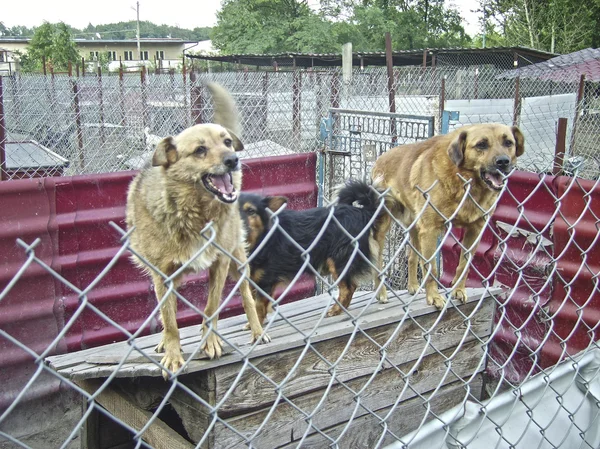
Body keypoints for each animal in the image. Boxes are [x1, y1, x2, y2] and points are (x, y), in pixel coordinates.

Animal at [126, 82, 270, 376]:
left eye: (226, 142)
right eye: (200, 150)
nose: (233, 159)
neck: (196, 215)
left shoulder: (220, 263)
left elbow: (211, 308)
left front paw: (210, 341)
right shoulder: (163, 274)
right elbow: (170, 320)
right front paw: (172, 354)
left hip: (239, 261)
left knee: (248, 298)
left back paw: (257, 330)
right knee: (165, 310)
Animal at [240, 180, 390, 320]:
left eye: (251, 211)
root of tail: (362, 212)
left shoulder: (265, 283)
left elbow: (258, 308)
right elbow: (252, 306)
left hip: (338, 261)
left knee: (348, 288)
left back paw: (336, 310)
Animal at [372, 124, 524, 310]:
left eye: (508, 142)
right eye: (481, 144)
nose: (503, 162)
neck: (465, 182)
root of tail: (381, 157)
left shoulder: (475, 230)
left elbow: (464, 265)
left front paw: (458, 290)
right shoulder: (430, 230)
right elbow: (432, 268)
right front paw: (434, 297)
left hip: (415, 225)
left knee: (412, 257)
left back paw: (413, 286)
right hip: (383, 226)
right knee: (378, 261)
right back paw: (381, 293)